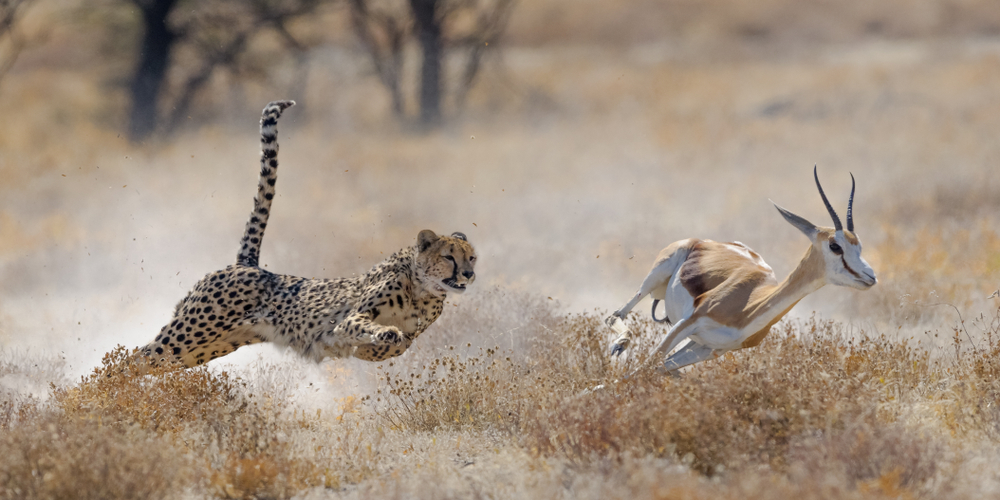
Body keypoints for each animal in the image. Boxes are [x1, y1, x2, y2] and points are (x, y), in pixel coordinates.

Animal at [139, 100, 477, 367]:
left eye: (472, 258)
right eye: (449, 257)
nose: (469, 274)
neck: (422, 290)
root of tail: (247, 264)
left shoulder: (409, 333)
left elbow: (399, 346)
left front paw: (375, 346)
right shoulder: (349, 319)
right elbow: (370, 329)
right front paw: (383, 334)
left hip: (201, 349)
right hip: (187, 335)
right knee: (131, 360)